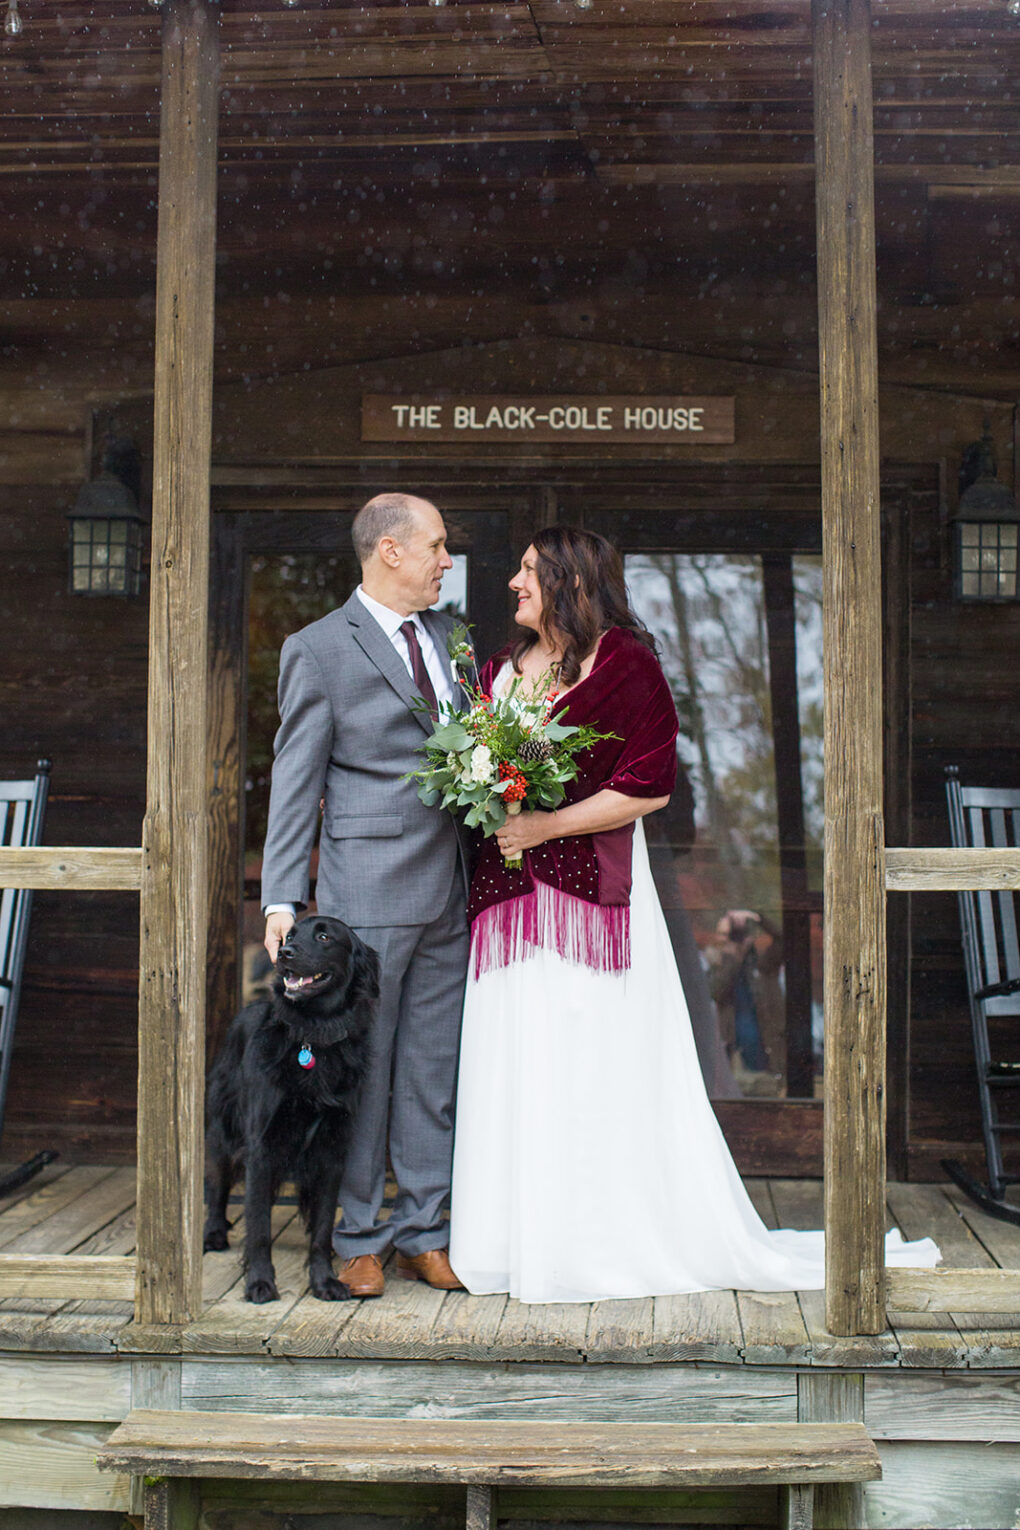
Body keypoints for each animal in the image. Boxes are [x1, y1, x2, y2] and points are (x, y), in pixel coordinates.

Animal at [203, 918, 379, 1303]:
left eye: (325, 937)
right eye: (289, 935)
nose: (284, 953)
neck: (313, 1035)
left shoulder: (332, 1151)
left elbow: (323, 1228)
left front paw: (324, 1281)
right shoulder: (261, 1149)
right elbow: (258, 1228)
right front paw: (259, 1283)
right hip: (223, 1129)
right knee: (218, 1185)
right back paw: (213, 1233)